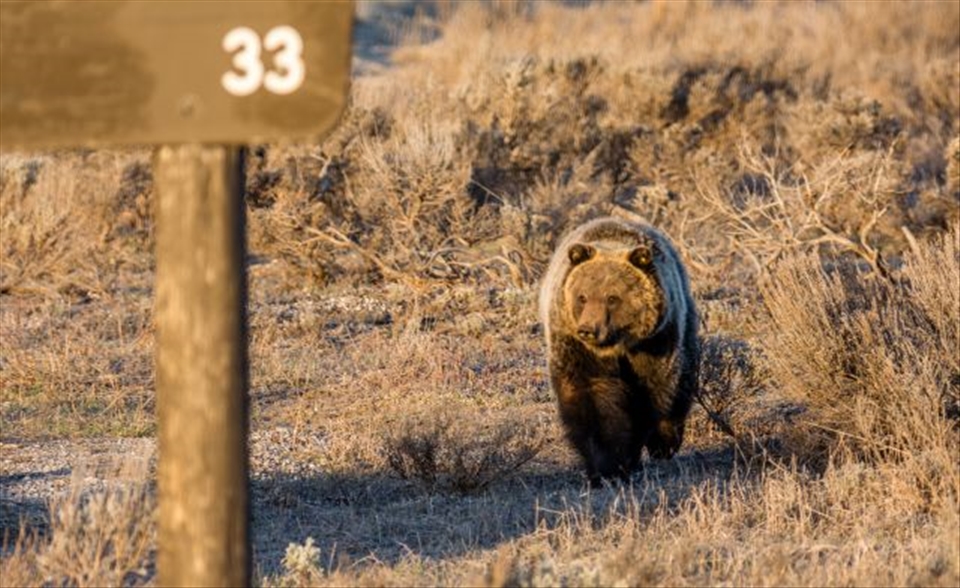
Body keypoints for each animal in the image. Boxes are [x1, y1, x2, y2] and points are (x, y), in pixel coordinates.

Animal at [539, 216, 700, 483]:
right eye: (582, 296)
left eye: (612, 298)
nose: (588, 330)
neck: (617, 345)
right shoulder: (576, 346)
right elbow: (593, 398)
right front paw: (607, 464)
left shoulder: (654, 342)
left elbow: (651, 392)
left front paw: (635, 453)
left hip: (684, 322)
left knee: (682, 384)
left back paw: (665, 442)